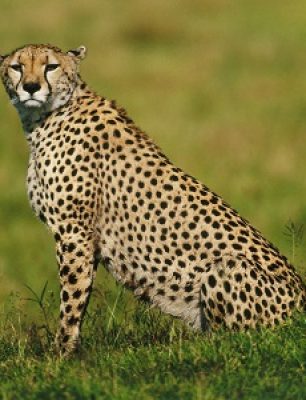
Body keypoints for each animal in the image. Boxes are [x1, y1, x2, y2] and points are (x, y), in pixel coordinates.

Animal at [0, 44, 304, 356]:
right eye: (16, 67)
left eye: (50, 66)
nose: (31, 87)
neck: (46, 119)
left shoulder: (74, 232)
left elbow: (73, 297)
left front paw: (62, 353)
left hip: (227, 267)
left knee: (230, 339)